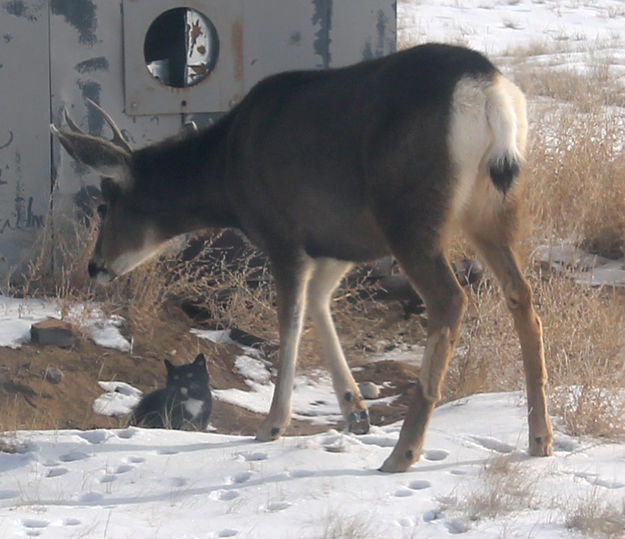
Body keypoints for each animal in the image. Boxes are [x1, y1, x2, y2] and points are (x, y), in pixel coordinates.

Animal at [52, 44, 552, 470]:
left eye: (105, 204)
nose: (95, 266)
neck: (227, 173)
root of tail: (488, 92)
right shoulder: (339, 241)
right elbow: (318, 302)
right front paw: (354, 411)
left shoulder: (284, 233)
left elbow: (289, 320)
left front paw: (273, 425)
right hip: (496, 209)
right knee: (523, 297)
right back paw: (540, 439)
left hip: (411, 215)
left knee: (450, 300)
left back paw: (403, 453)